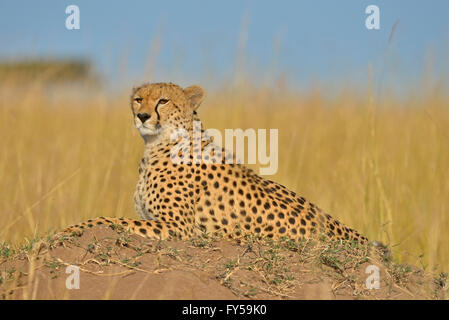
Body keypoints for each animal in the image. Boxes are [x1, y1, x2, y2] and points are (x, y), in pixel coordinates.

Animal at [58, 81, 368, 244]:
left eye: (163, 101)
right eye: (138, 99)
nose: (142, 116)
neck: (156, 146)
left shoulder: (177, 226)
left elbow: (109, 219)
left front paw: (68, 229)